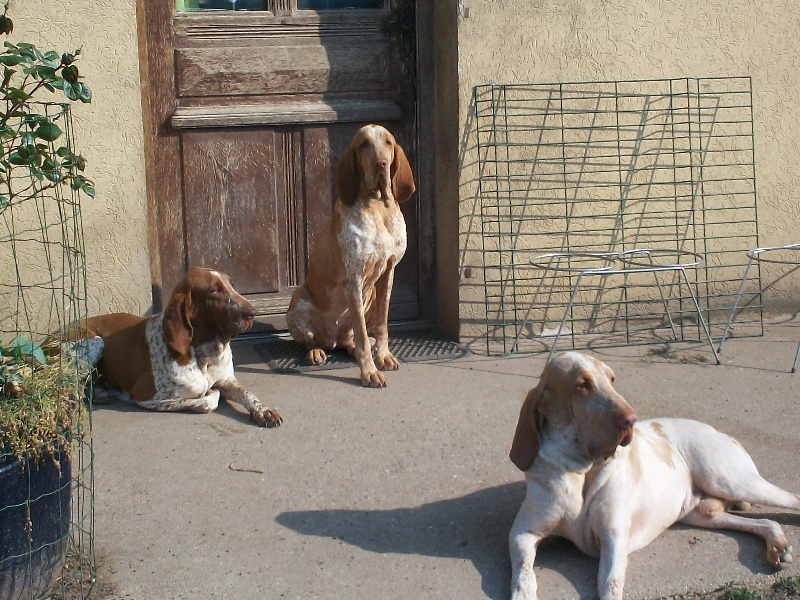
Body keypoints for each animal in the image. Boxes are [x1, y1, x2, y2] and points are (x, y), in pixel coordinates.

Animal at [72, 266, 282, 426]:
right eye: (215, 291)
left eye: (231, 285)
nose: (252, 312)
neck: (203, 355)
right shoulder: (151, 397)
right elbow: (208, 400)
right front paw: (210, 393)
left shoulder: (227, 380)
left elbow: (247, 394)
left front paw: (263, 410)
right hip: (96, 342)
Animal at [286, 126, 412, 390]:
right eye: (364, 144)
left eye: (388, 142)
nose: (381, 163)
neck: (378, 207)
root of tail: (332, 339)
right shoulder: (354, 279)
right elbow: (364, 336)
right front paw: (369, 372)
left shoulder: (388, 274)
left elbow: (381, 326)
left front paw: (382, 356)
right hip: (298, 299)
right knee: (312, 339)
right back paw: (316, 351)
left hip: (367, 299)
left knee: (353, 339)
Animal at [510, 352, 796, 600]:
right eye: (582, 385)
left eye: (612, 379)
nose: (631, 420)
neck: (581, 469)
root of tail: (721, 432)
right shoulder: (522, 532)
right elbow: (524, 575)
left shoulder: (614, 538)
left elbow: (610, 584)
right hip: (701, 513)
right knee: (765, 521)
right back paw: (777, 545)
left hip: (730, 481)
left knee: (793, 499)